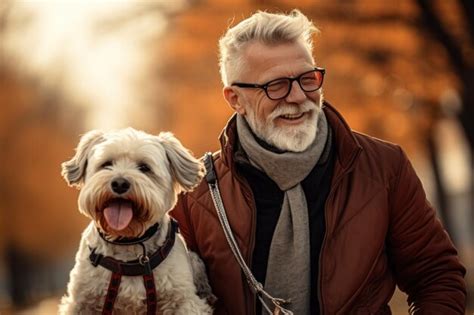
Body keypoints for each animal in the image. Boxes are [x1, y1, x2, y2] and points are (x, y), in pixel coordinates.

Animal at [59, 129, 213, 315]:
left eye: (144, 168)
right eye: (107, 164)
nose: (119, 183)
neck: (127, 242)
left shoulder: (185, 301)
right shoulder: (81, 302)